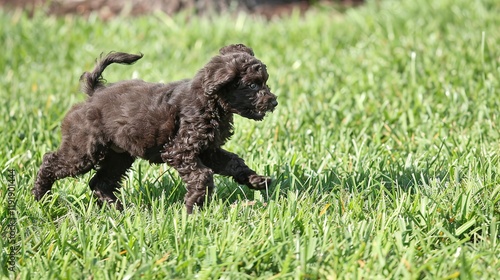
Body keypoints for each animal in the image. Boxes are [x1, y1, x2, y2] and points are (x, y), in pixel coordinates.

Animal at [32, 43, 278, 213]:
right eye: (253, 85)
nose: (274, 101)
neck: (210, 101)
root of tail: (94, 93)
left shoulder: (209, 150)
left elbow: (234, 162)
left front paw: (256, 180)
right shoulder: (180, 151)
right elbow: (202, 176)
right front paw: (192, 209)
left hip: (118, 156)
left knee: (99, 182)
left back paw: (119, 210)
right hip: (84, 150)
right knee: (50, 162)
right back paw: (40, 197)